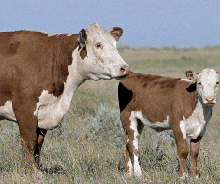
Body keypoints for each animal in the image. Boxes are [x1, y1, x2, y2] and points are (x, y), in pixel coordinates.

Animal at [0, 22, 130, 170]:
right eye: (98, 45)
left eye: (114, 44)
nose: (124, 68)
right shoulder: (25, 107)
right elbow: (30, 143)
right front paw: (30, 170)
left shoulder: (44, 112)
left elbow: (38, 145)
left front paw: (37, 169)